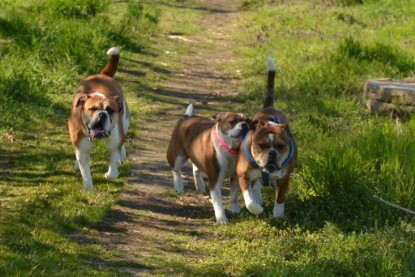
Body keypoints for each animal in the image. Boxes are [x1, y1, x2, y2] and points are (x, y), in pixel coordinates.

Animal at [68, 47, 130, 190]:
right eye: (92, 109)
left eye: (110, 110)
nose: (102, 114)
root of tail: (103, 75)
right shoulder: (82, 150)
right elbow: (85, 171)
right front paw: (88, 188)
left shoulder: (114, 146)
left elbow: (113, 171)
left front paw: (109, 174)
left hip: (125, 121)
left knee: (123, 140)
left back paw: (122, 154)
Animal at [237, 57, 296, 218]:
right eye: (262, 145)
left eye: (281, 146)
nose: (272, 153)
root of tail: (269, 108)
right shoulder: (242, 175)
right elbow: (249, 200)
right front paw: (257, 208)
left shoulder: (284, 178)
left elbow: (280, 198)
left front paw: (278, 215)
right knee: (255, 184)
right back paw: (257, 196)